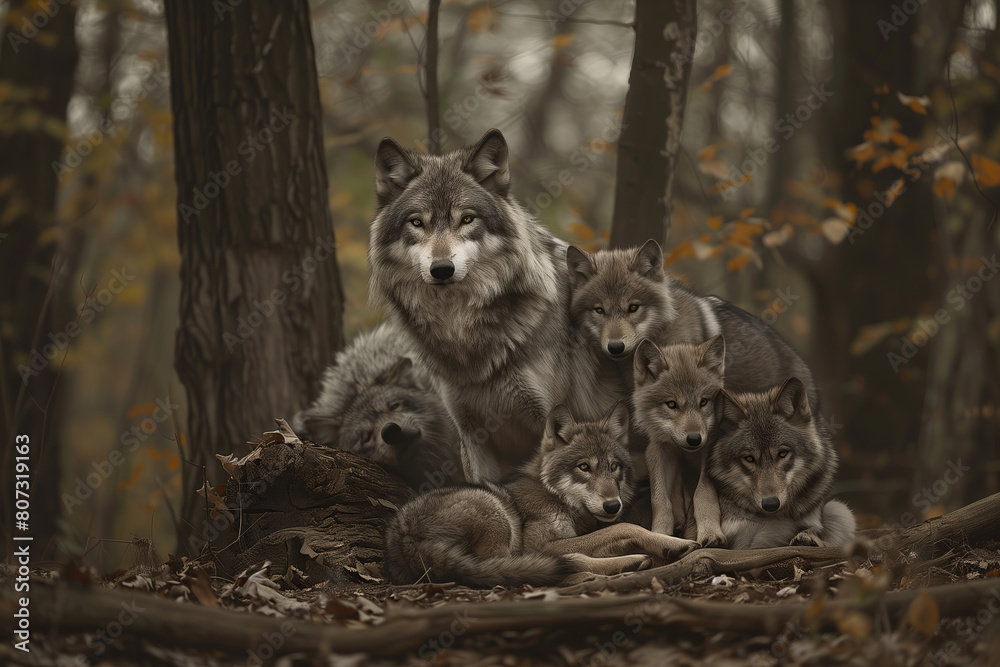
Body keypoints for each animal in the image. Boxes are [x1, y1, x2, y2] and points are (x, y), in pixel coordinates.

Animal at [383, 403, 698, 587]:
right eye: (584, 467)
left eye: (613, 467)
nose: (612, 505)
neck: (557, 497)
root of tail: (403, 537)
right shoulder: (539, 544)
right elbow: (624, 527)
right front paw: (673, 543)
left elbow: (614, 531)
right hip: (496, 515)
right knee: (520, 569)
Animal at [632, 336, 728, 546]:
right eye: (671, 404)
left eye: (703, 402)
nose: (694, 439)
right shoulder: (659, 450)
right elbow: (660, 500)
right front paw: (660, 535)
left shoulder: (709, 449)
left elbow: (702, 493)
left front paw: (711, 533)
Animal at [706, 377, 856, 549]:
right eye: (749, 458)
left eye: (782, 453)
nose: (770, 504)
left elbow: (816, 529)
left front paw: (807, 537)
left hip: (839, 510)